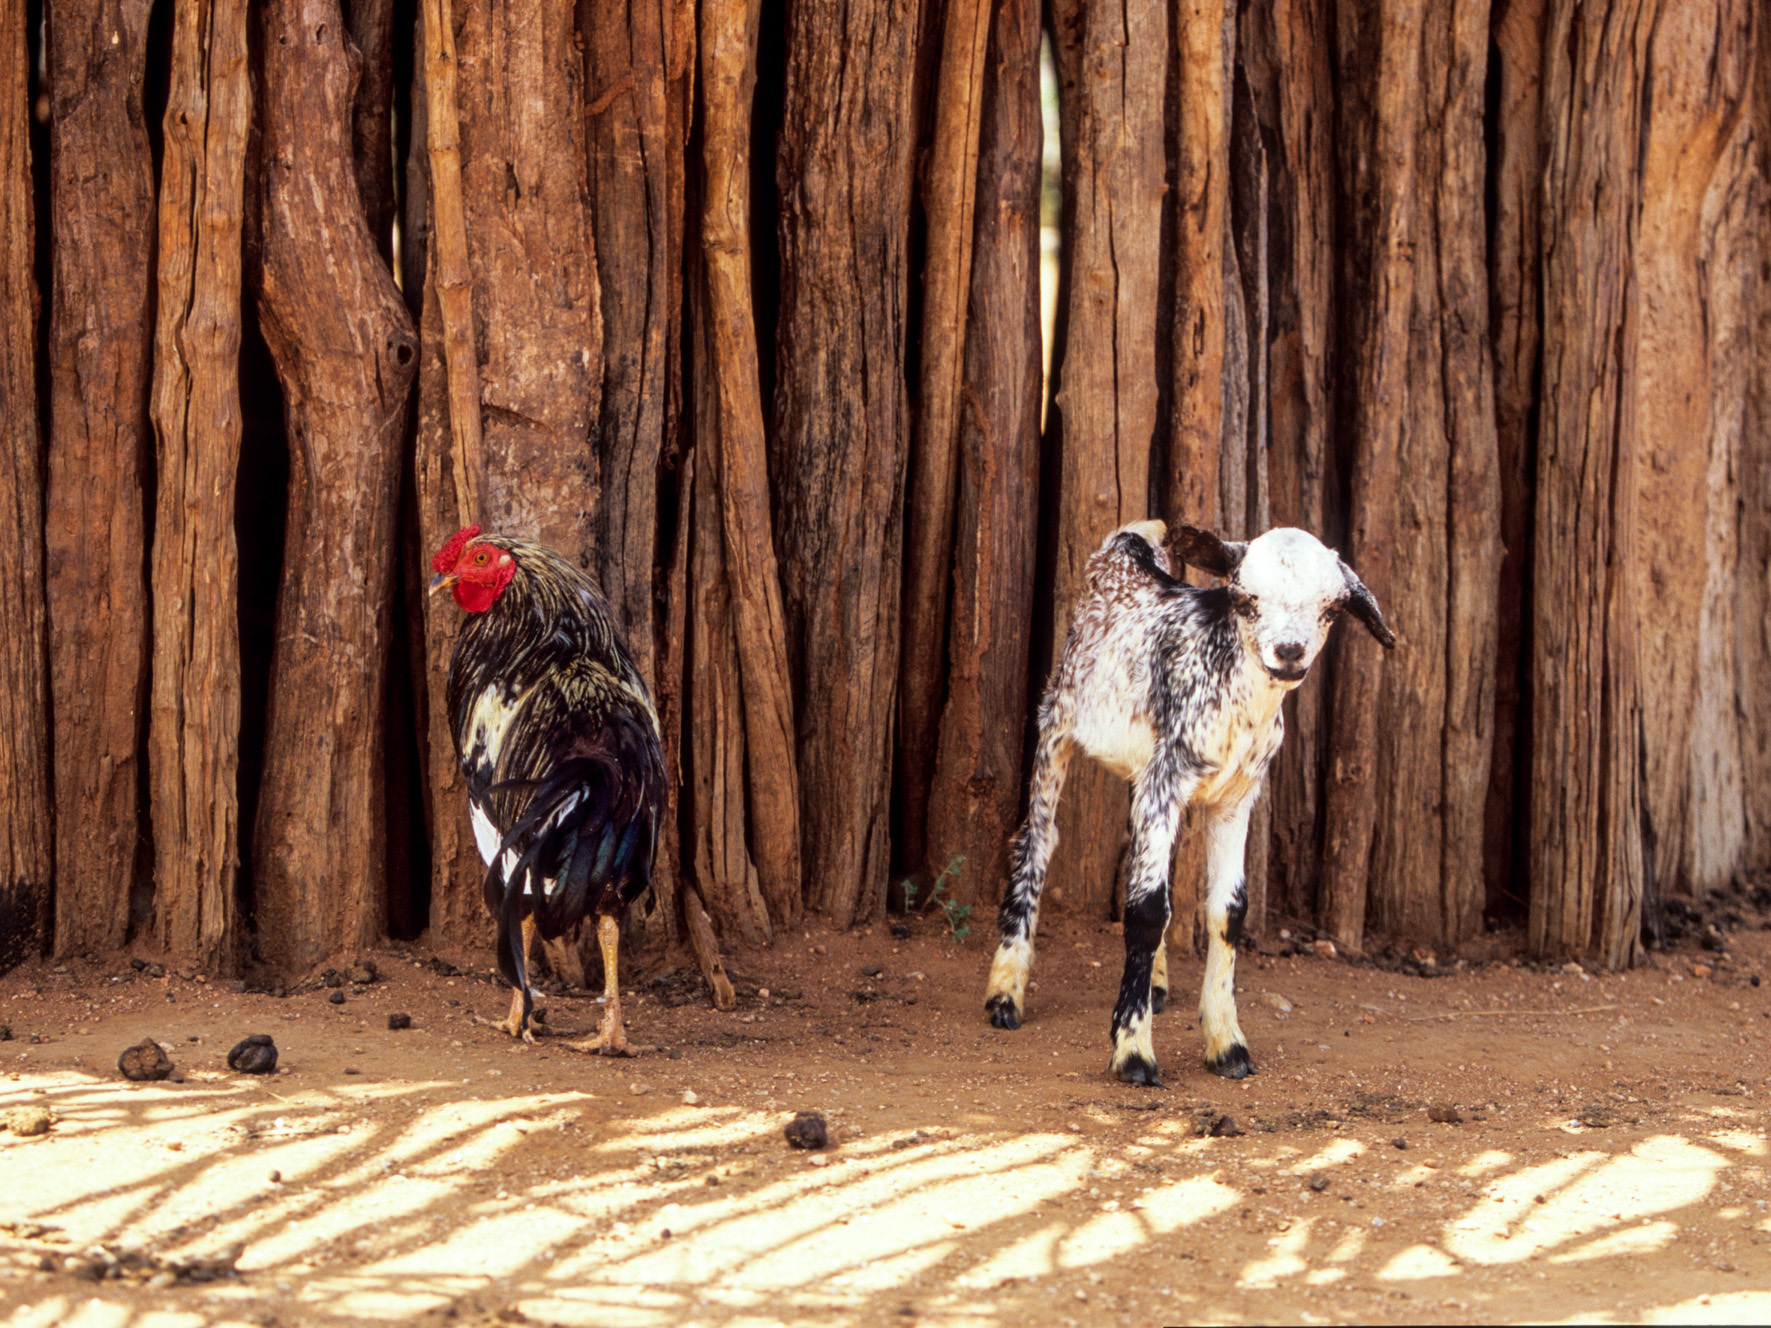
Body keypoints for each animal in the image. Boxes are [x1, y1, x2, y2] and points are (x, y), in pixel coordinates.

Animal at [983, 519, 1395, 1084]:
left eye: (1331, 607)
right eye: (1245, 598)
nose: (1289, 651)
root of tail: (1133, 540)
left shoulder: (1235, 796)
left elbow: (1227, 910)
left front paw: (1227, 1043)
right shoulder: (1166, 777)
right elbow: (1146, 909)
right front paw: (1133, 1052)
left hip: (1142, 769)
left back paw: (1154, 983)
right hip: (1058, 721)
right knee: (1038, 841)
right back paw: (1005, 995)